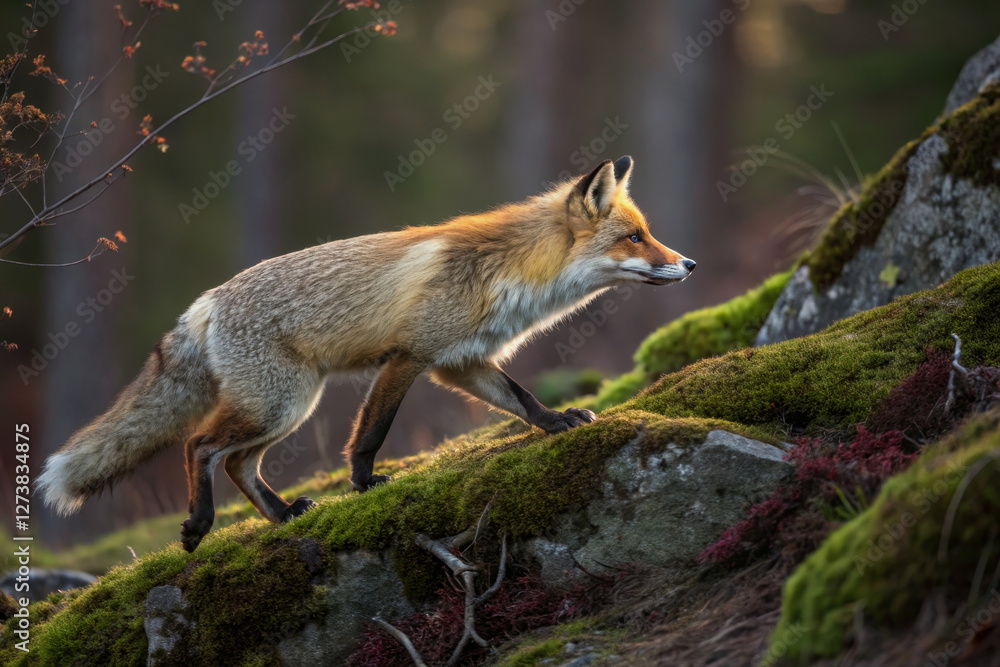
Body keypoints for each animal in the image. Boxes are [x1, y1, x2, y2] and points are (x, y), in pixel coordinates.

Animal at [37, 155, 695, 552]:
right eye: (635, 238)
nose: (689, 263)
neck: (503, 273)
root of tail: (205, 301)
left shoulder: (461, 361)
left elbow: (523, 399)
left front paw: (560, 421)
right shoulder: (409, 356)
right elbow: (372, 432)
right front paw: (363, 484)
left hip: (288, 407)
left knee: (237, 463)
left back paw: (282, 516)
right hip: (282, 403)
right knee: (200, 446)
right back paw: (200, 526)